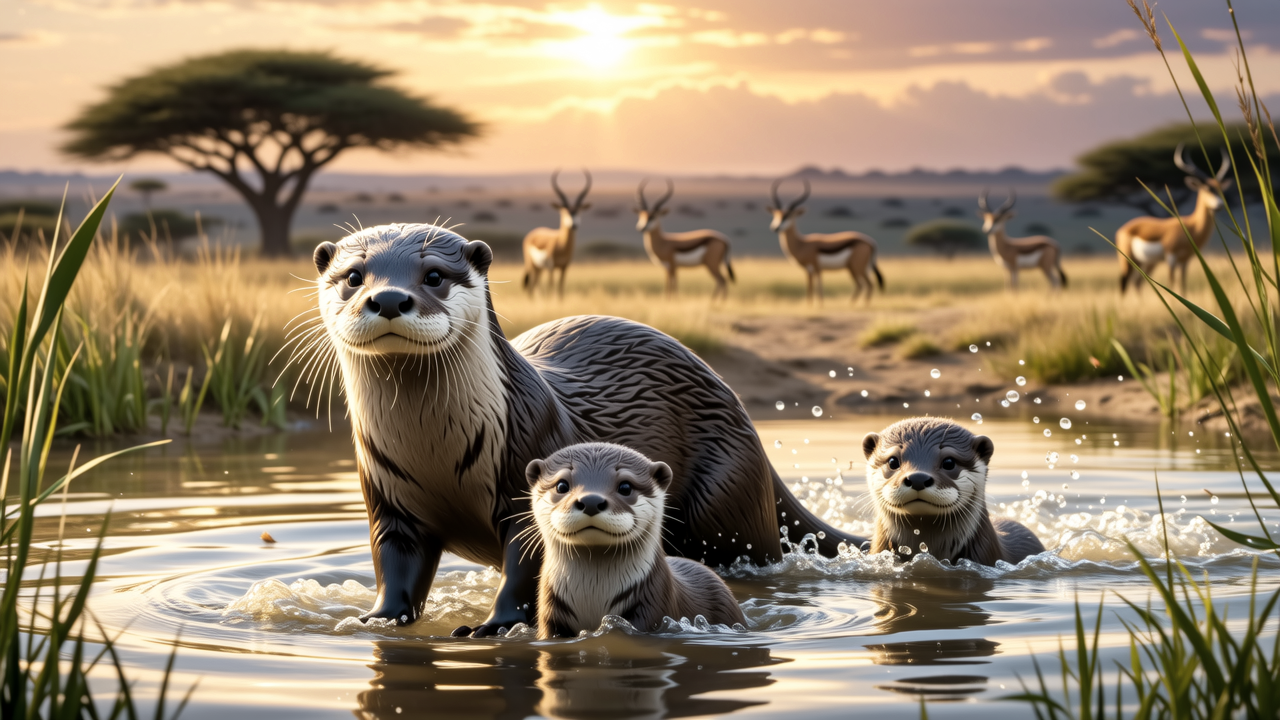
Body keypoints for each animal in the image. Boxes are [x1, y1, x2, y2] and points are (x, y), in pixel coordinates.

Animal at [527, 443, 745, 638]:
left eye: (625, 486)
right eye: (562, 485)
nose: (591, 501)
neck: (592, 594)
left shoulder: (652, 604)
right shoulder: (550, 612)